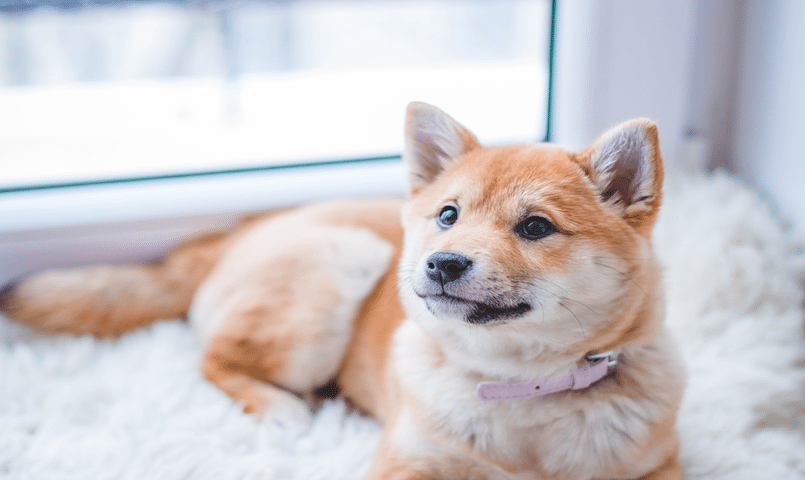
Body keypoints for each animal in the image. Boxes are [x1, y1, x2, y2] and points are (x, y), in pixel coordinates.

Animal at [1, 103, 684, 478]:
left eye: (536, 227)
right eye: (448, 216)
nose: (442, 263)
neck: (523, 389)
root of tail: (238, 230)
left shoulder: (659, 467)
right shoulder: (408, 461)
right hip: (334, 276)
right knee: (214, 360)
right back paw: (280, 406)